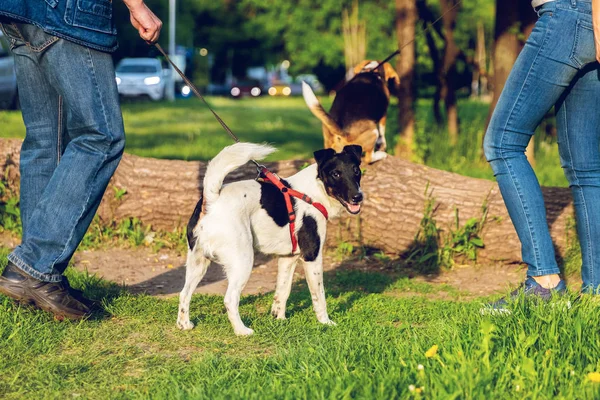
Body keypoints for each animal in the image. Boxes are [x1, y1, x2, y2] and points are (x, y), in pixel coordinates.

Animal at [176, 142, 364, 336]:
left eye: (356, 170)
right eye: (336, 174)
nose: (358, 197)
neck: (314, 192)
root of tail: (212, 200)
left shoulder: (288, 258)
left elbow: (282, 292)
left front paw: (279, 320)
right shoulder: (312, 257)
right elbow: (319, 296)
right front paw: (326, 323)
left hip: (198, 262)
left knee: (184, 293)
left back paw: (184, 325)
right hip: (243, 261)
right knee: (230, 299)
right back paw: (242, 331)